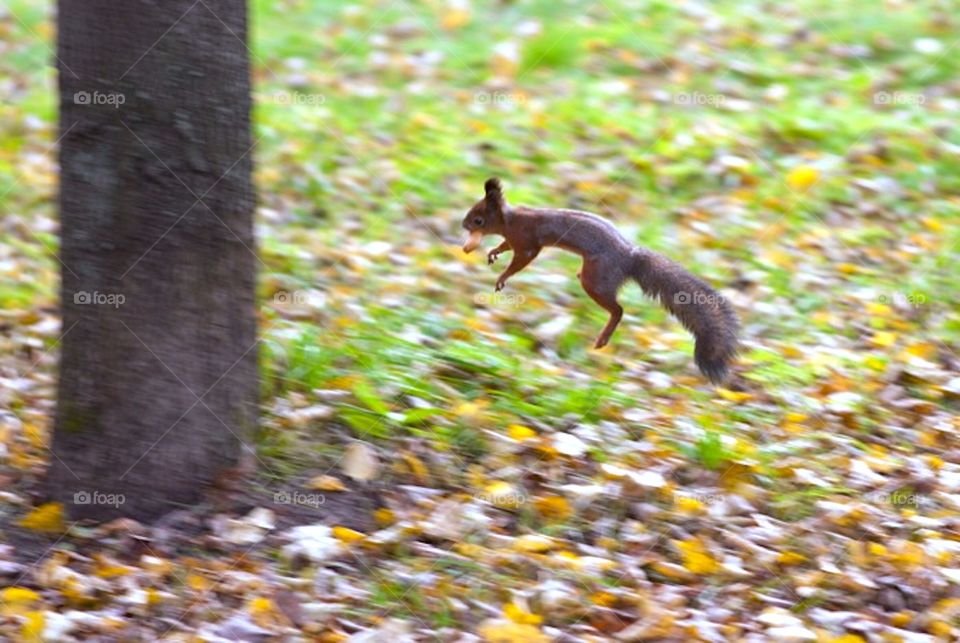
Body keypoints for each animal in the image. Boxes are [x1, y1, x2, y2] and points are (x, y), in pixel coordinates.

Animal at [462, 177, 740, 382]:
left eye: (478, 219)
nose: (464, 225)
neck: (510, 219)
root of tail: (629, 258)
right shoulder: (513, 239)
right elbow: (505, 245)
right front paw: (493, 252)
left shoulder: (526, 240)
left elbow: (522, 258)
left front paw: (502, 277)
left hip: (597, 279)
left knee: (618, 309)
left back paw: (603, 338)